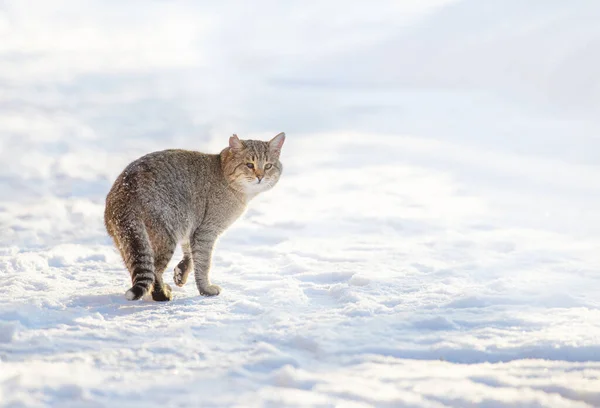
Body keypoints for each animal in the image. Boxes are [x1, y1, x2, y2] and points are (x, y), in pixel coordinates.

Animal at [103, 132, 286, 302]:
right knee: (155, 269)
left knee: (138, 266)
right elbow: (203, 262)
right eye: (249, 164)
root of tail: (125, 189)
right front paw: (205, 289)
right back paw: (161, 294)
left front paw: (181, 272)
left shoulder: (190, 226)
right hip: (164, 235)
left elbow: (191, 255)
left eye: (268, 166)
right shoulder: (206, 231)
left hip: (129, 241)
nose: (260, 176)